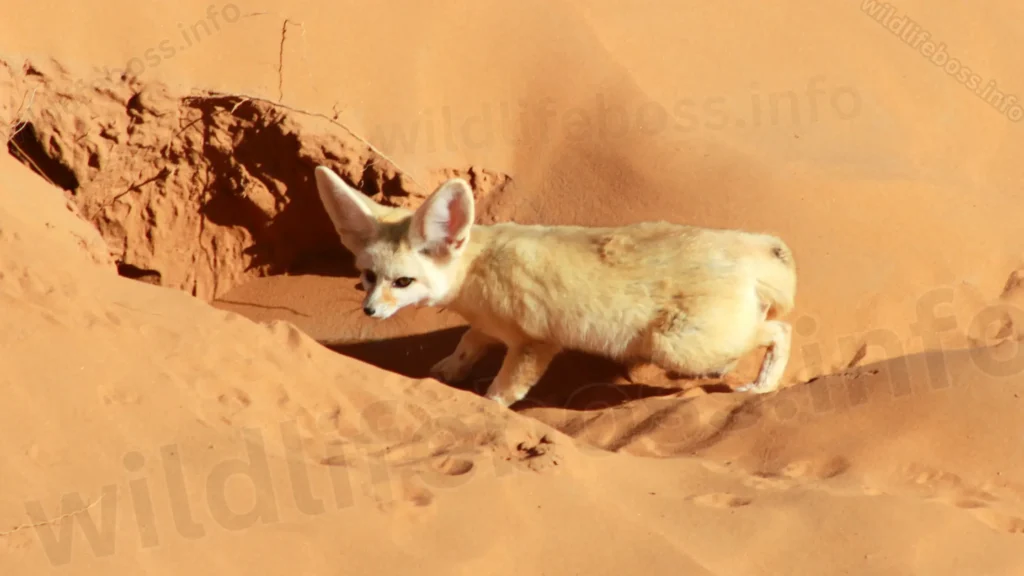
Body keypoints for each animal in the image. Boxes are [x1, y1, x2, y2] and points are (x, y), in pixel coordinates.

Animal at [315, 163, 794, 405]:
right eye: (368, 277)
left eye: (403, 281)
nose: (370, 311)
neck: (478, 269)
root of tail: (750, 245)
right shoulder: (487, 326)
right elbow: (467, 344)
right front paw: (447, 371)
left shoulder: (534, 343)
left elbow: (503, 392)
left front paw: (486, 409)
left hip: (675, 346)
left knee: (779, 330)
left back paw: (761, 385)